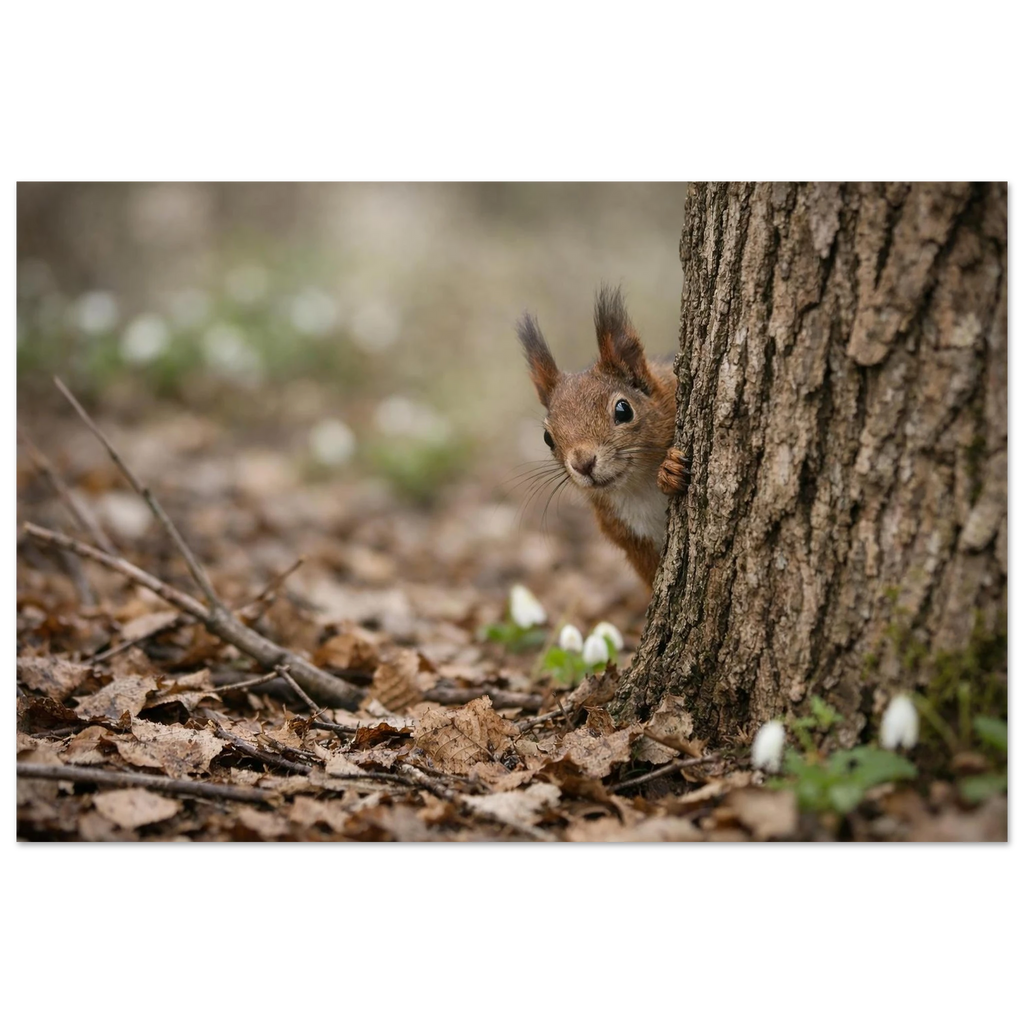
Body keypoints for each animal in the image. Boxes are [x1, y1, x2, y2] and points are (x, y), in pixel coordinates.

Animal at [517, 285, 689, 587]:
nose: (583, 463)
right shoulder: (630, 539)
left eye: (624, 409)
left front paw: (670, 468)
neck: (639, 487)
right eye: (547, 438)